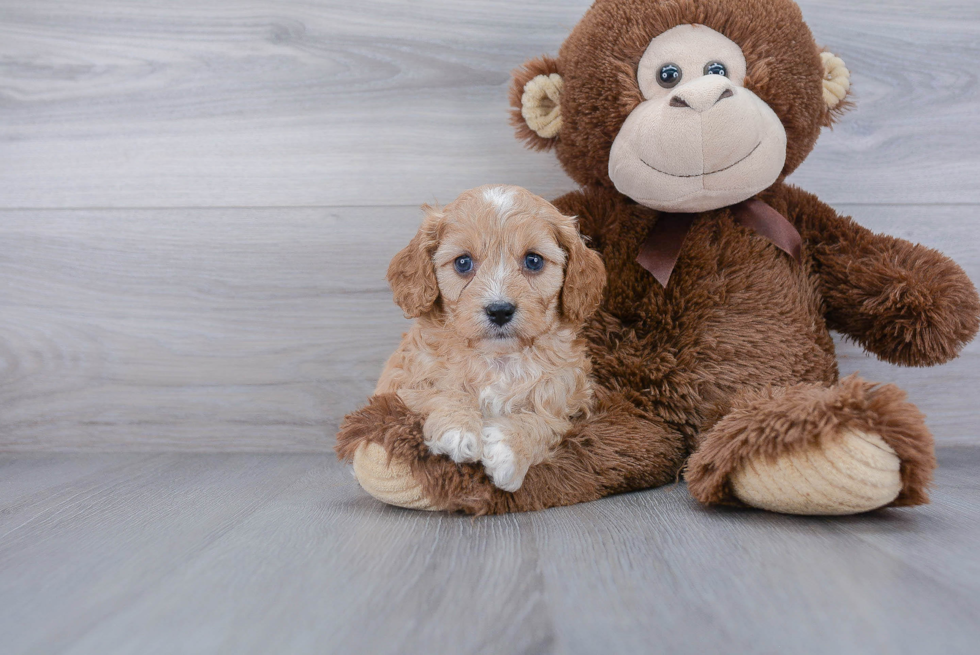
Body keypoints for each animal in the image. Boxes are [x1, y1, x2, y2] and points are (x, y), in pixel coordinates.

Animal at [376, 184, 604, 492]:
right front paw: (458, 427)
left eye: (533, 260)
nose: (499, 310)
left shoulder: (568, 399)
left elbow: (544, 421)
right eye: (463, 262)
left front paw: (510, 446)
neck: (498, 358)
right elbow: (439, 392)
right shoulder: (402, 385)